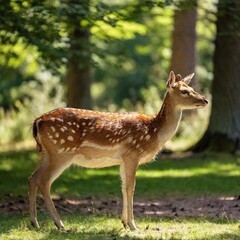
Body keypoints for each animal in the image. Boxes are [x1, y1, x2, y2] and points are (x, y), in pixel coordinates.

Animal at [28, 71, 208, 231]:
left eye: (192, 88)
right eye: (184, 91)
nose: (205, 100)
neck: (153, 132)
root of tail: (37, 121)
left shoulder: (122, 160)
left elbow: (123, 187)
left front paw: (124, 223)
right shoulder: (132, 155)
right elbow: (130, 188)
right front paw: (133, 225)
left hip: (47, 154)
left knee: (33, 178)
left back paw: (35, 223)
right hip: (61, 152)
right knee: (44, 181)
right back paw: (59, 224)